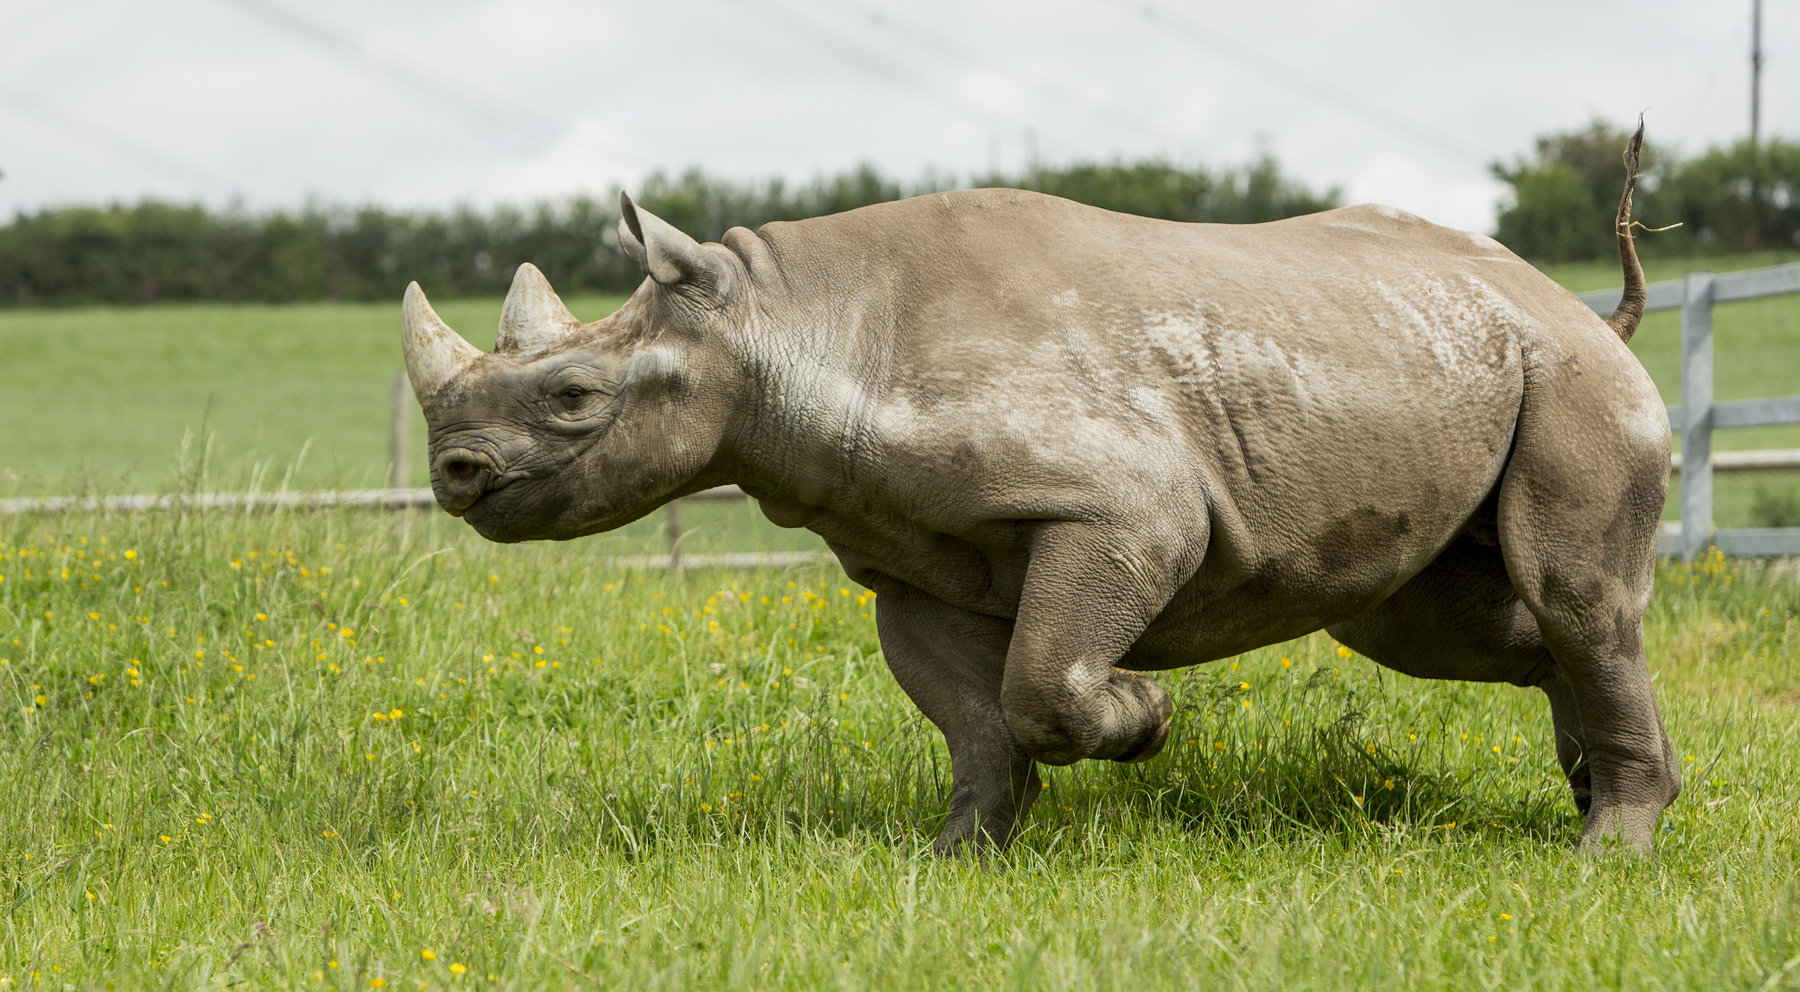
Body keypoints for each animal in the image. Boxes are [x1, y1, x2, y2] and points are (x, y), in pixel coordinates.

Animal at [401, 132, 1677, 856]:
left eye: (572, 396)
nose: (453, 473)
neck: (788, 325)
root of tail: (1573, 304)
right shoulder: (903, 555)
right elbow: (978, 720)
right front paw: (958, 858)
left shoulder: (1122, 510)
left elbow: (1043, 685)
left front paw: (1146, 718)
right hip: (1444, 362)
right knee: (1439, 624)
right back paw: (1592, 789)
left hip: (1571, 379)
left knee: (1571, 593)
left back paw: (1609, 851)